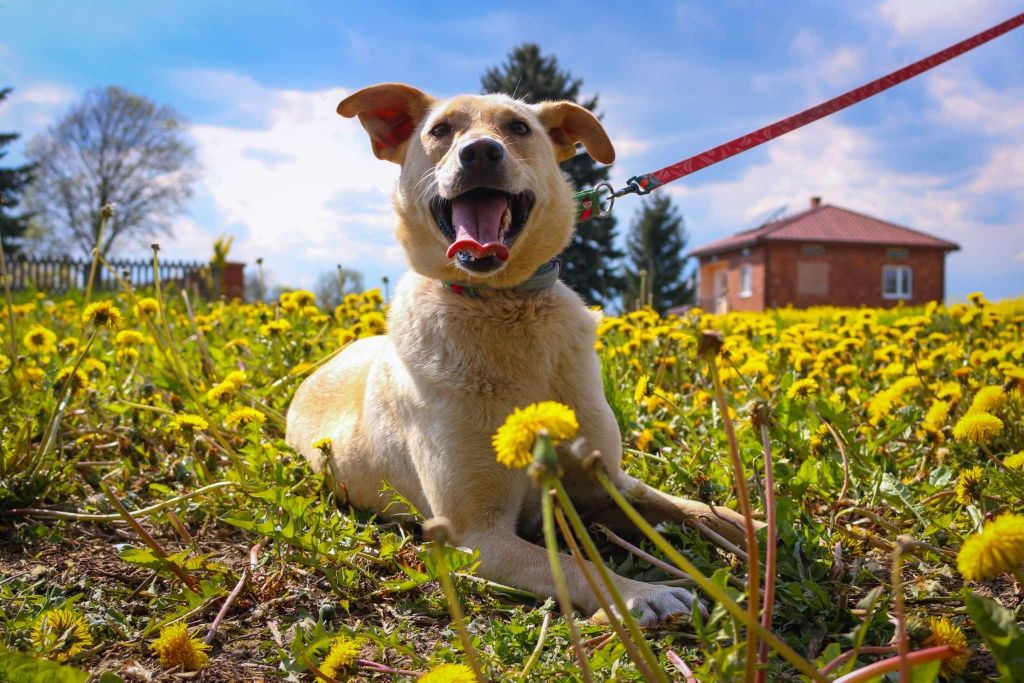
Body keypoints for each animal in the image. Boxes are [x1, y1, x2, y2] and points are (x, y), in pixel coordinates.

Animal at [284, 82, 749, 626]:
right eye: (441, 130)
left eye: (518, 128)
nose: (481, 152)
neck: (503, 305)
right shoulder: (478, 535)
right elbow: (572, 566)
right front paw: (641, 592)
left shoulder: (606, 483)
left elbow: (688, 508)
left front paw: (756, 525)